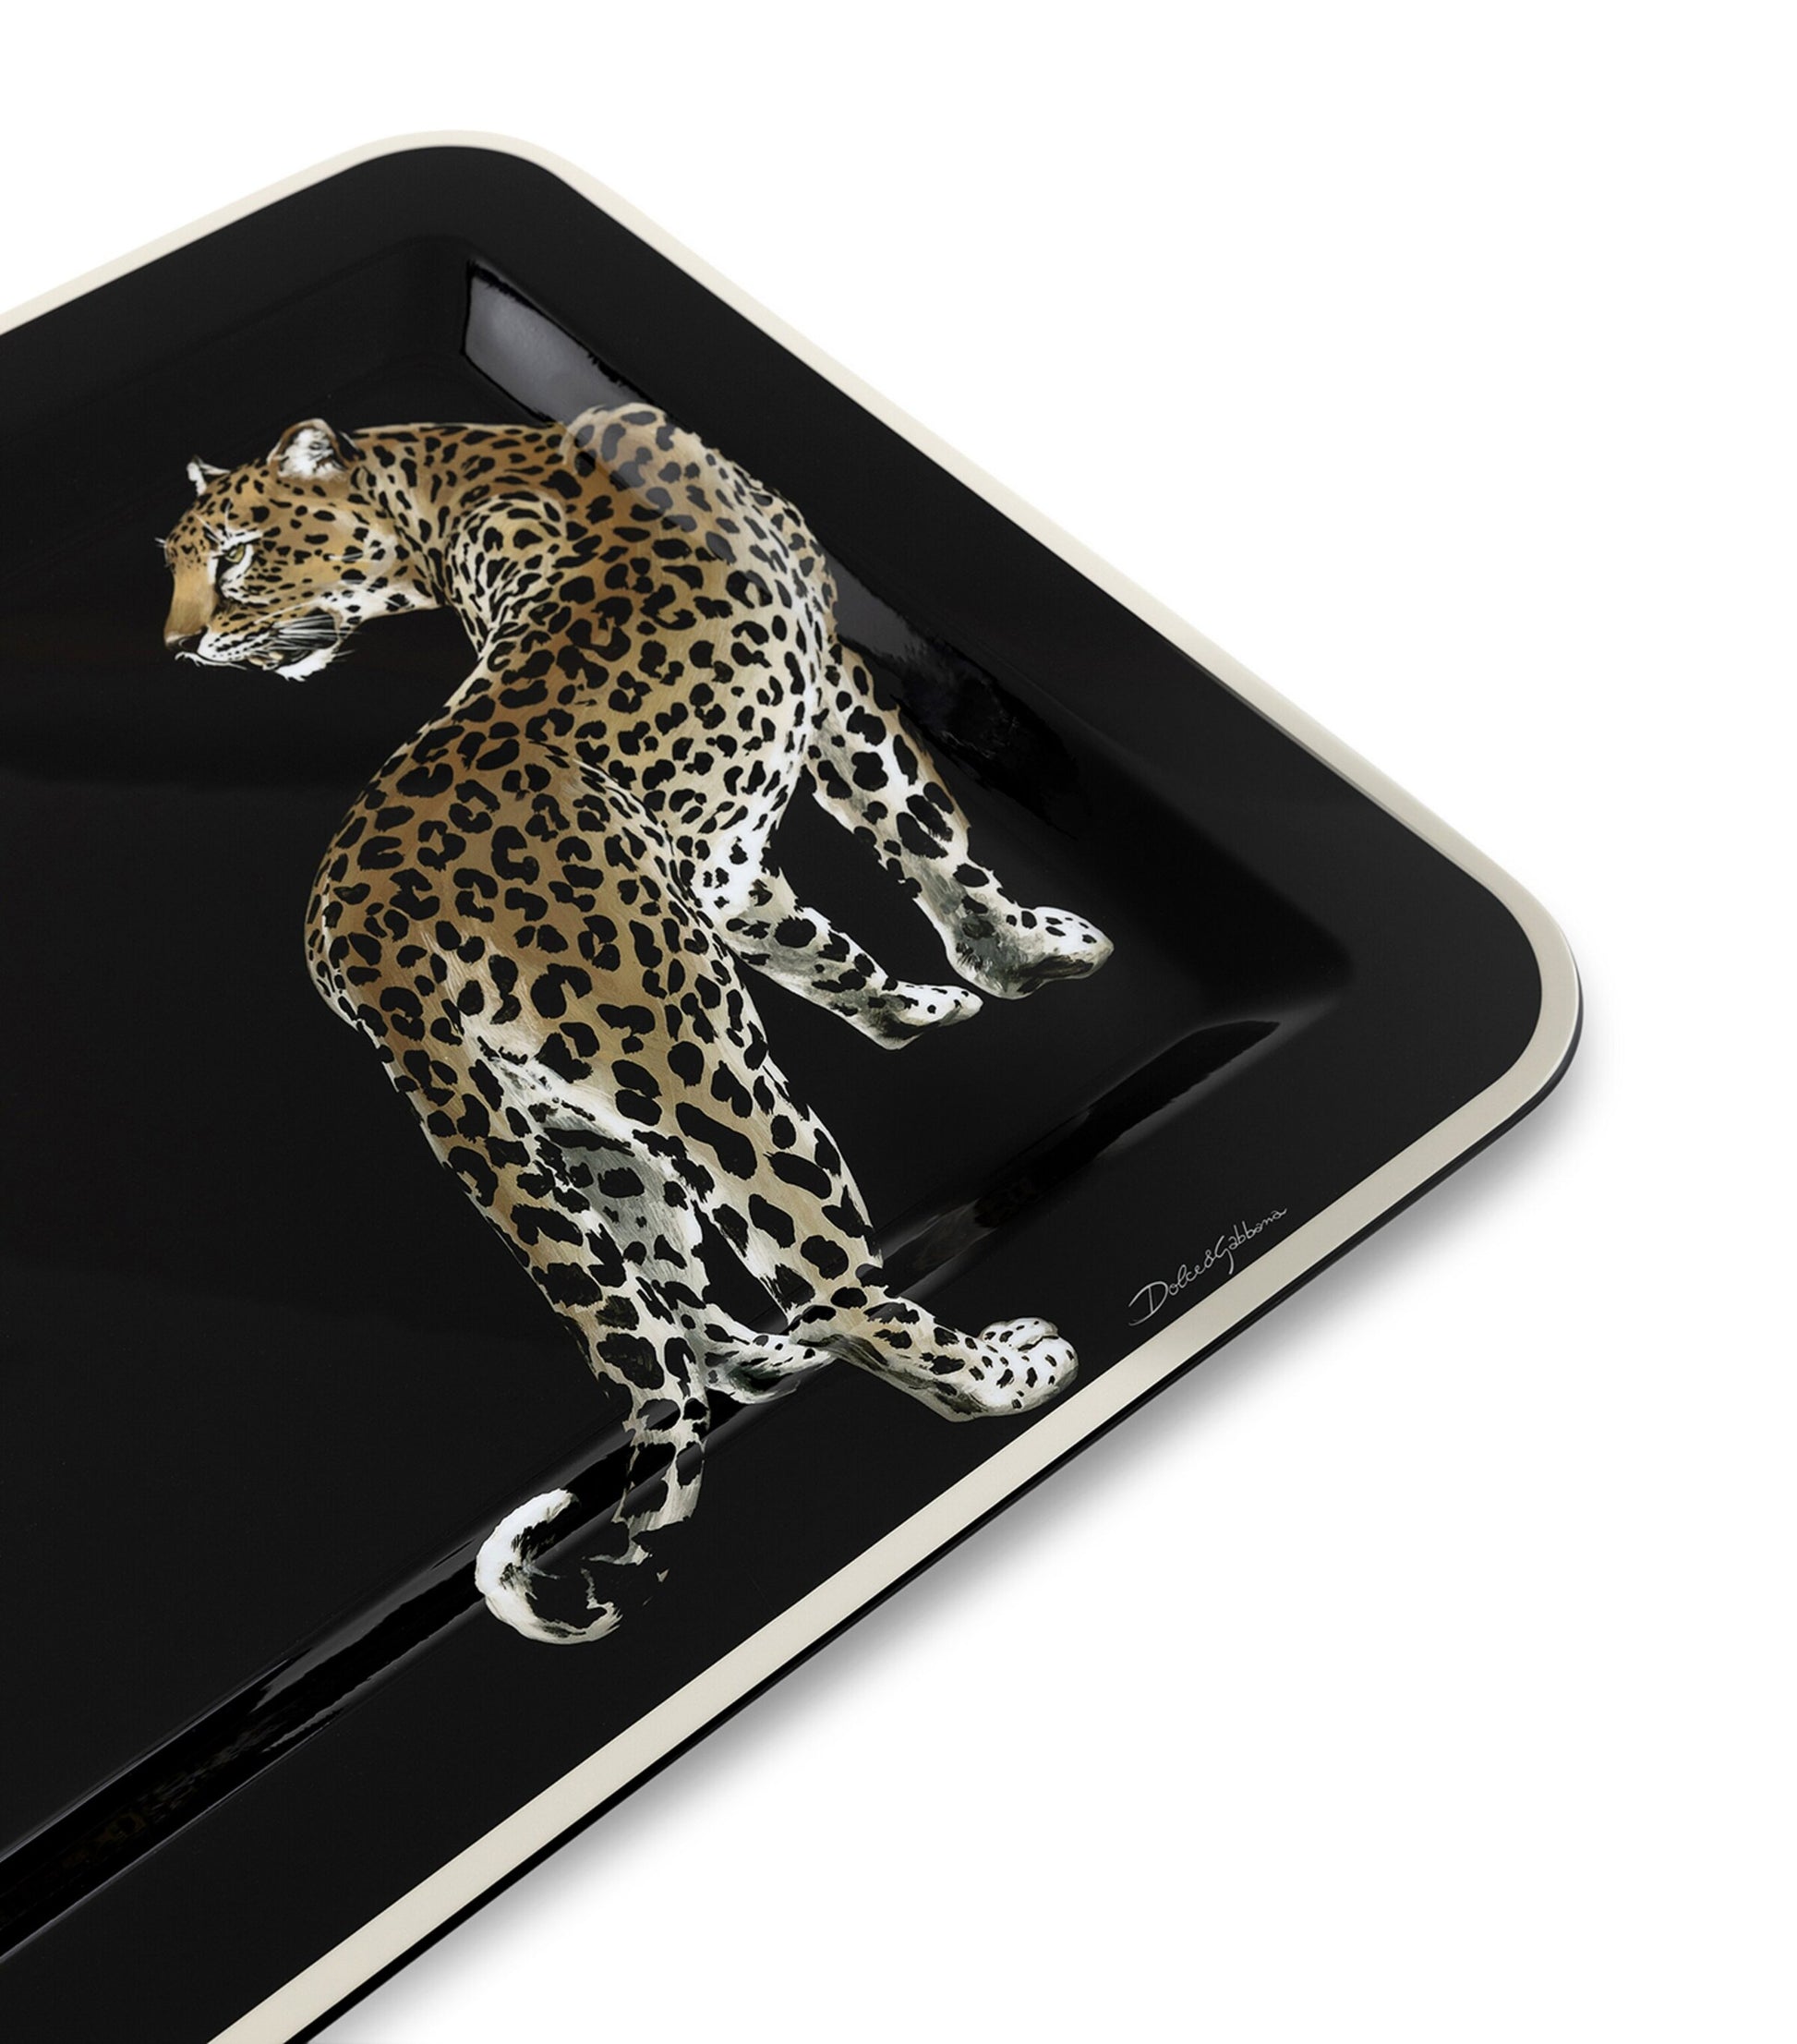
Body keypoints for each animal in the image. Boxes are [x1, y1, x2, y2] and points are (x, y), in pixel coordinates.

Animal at [163, 404, 1112, 1644]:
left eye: (232, 556)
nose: (179, 649)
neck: (448, 484)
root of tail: (360, 933)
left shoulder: (719, 866)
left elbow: (813, 936)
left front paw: (920, 1004)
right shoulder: (841, 681)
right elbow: (924, 827)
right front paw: (1031, 952)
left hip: (570, 1118)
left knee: (666, 1315)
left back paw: (767, 1359)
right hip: (702, 1059)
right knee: (831, 1291)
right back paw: (1009, 1368)